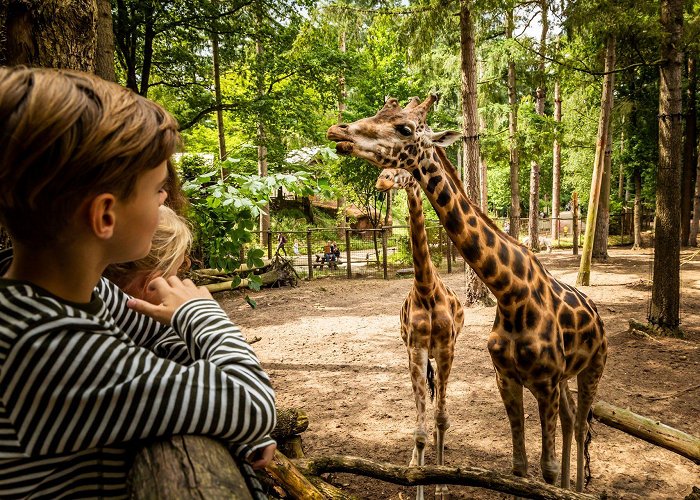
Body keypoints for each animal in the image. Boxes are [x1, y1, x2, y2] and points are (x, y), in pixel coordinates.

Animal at [374, 169, 462, 500]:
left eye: (400, 171)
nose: (382, 181)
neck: (426, 288)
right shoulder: (416, 349)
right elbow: (420, 431)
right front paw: (418, 475)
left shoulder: (447, 348)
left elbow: (441, 420)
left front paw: (441, 485)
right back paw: (413, 461)